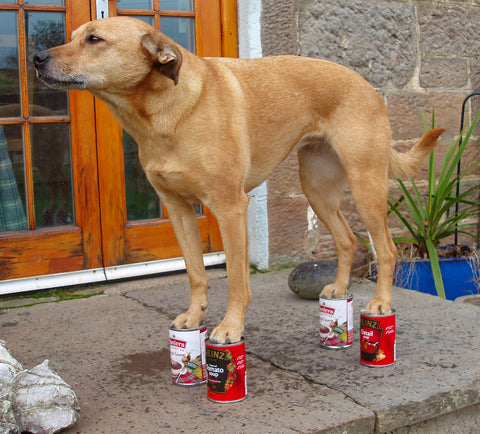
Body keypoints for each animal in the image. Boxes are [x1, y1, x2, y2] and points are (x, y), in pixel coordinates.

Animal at [33, 16, 444, 342]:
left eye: (94, 39)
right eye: (72, 35)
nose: (36, 58)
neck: (162, 112)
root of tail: (368, 85)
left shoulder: (230, 208)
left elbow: (235, 281)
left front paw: (230, 328)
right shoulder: (178, 210)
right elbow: (197, 274)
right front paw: (194, 316)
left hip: (365, 184)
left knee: (386, 249)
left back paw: (380, 303)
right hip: (317, 188)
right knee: (347, 239)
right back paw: (340, 291)